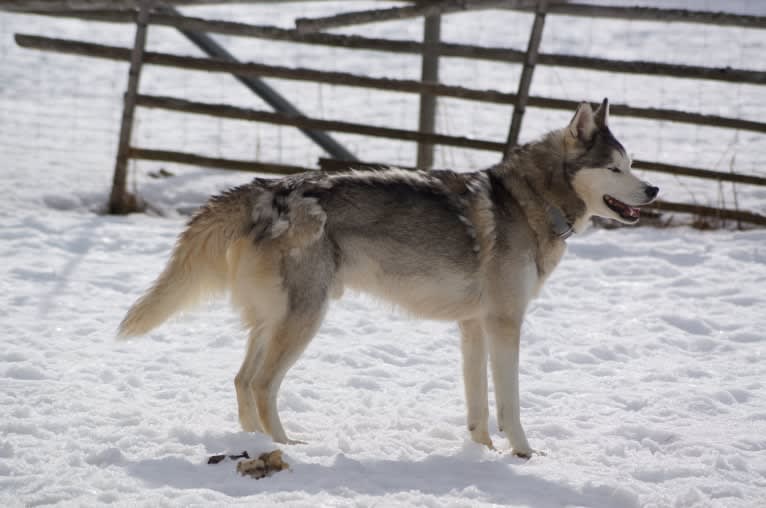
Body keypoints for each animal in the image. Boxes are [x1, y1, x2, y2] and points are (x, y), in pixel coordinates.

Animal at [118, 98, 660, 456]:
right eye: (615, 168)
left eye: (632, 164)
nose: (654, 189)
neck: (531, 200)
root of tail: (267, 189)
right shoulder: (506, 324)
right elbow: (510, 404)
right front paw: (524, 455)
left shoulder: (474, 327)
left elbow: (478, 404)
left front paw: (482, 452)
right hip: (305, 319)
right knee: (262, 385)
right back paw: (288, 447)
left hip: (274, 321)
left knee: (241, 379)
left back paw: (253, 443)